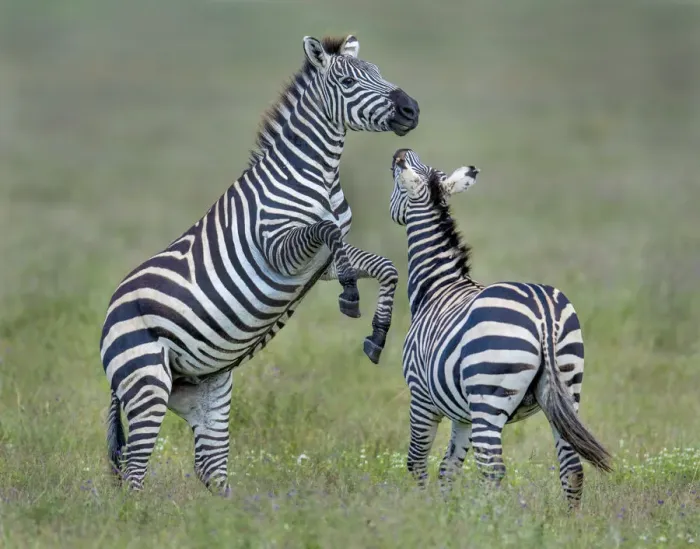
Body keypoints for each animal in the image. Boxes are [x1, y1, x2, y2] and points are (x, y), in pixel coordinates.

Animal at [100, 35, 420, 495]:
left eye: (377, 72)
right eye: (346, 82)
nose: (411, 109)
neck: (319, 176)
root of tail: (111, 311)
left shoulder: (321, 264)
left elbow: (385, 267)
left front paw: (377, 333)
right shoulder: (278, 246)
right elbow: (328, 230)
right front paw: (350, 294)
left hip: (205, 393)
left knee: (209, 468)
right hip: (146, 381)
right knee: (134, 469)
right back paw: (137, 514)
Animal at [389, 149, 612, 508]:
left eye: (394, 181)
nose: (401, 151)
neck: (437, 286)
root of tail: (543, 312)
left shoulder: (421, 395)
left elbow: (417, 462)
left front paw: (423, 510)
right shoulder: (461, 414)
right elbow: (448, 468)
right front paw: (444, 512)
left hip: (489, 396)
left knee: (492, 469)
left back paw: (489, 519)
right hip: (567, 388)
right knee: (572, 468)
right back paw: (570, 520)